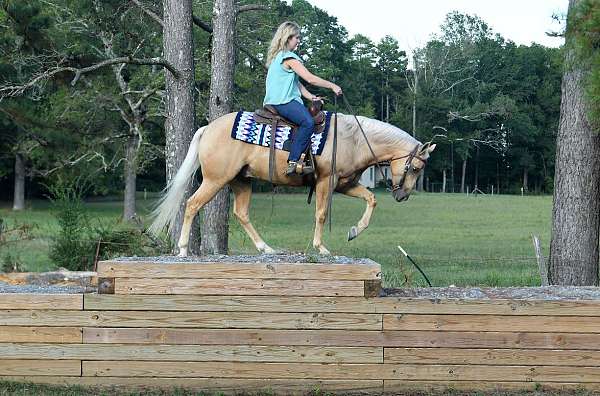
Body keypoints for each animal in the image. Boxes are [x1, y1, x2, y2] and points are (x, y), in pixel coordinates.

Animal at [149, 110, 436, 256]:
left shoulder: (344, 184)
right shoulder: (327, 181)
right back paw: (183, 249)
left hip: (241, 181)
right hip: (216, 179)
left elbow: (371, 199)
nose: (403, 196)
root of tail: (207, 128)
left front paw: (354, 231)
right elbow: (321, 214)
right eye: (416, 167)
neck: (353, 139)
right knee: (192, 204)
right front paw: (321, 248)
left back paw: (266, 248)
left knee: (241, 213)